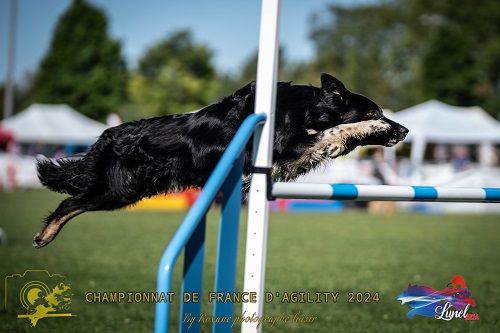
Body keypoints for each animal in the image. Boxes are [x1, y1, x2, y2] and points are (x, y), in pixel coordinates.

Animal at [35, 74, 408, 248]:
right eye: (375, 111)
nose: (404, 130)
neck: (302, 107)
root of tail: (108, 135)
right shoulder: (283, 147)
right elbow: (335, 131)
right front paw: (361, 129)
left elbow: (328, 137)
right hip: (117, 189)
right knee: (69, 201)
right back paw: (44, 235)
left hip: (126, 191)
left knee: (75, 201)